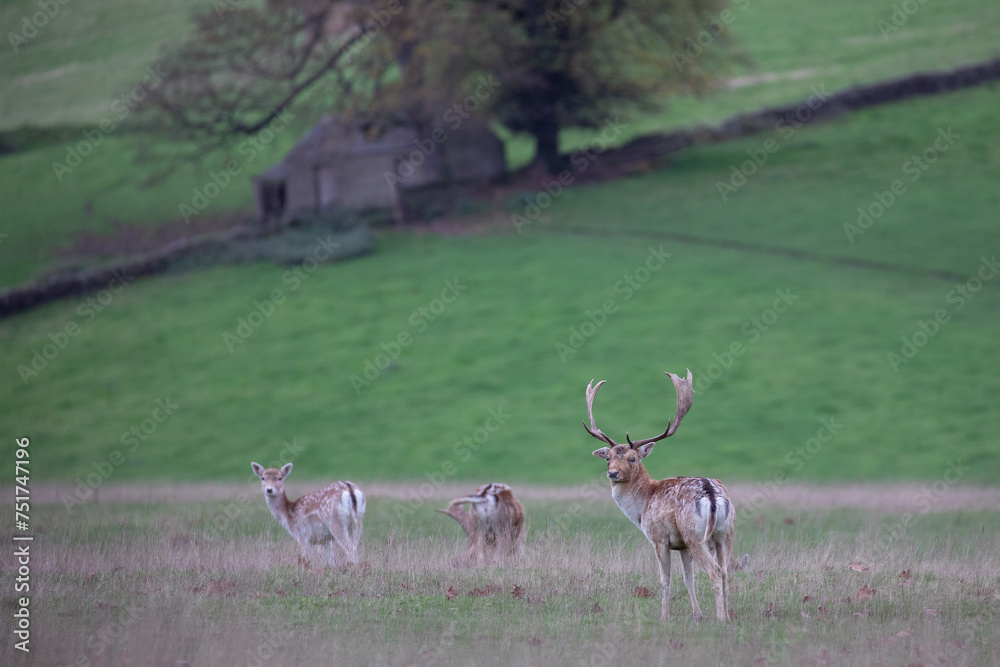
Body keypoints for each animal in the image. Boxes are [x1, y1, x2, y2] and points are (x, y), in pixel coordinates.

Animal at [584, 369, 735, 623]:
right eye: (608, 458)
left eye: (633, 458)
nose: (612, 473)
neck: (643, 504)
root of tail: (712, 494)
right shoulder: (682, 545)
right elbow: (688, 578)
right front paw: (697, 614)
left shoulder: (659, 538)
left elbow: (665, 579)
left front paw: (664, 616)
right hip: (725, 534)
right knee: (725, 571)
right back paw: (729, 616)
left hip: (695, 535)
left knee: (715, 571)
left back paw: (721, 619)